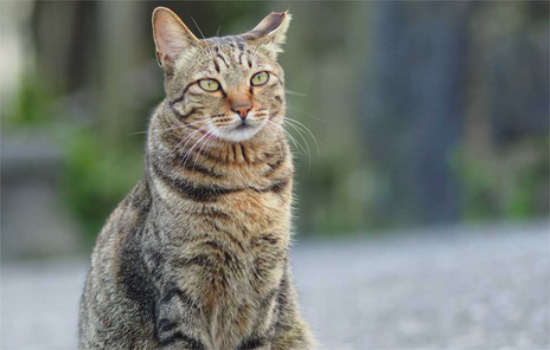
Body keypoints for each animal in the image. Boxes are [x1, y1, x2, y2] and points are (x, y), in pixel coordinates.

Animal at [80, 6, 316, 350]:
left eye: (259, 78)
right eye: (209, 84)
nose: (243, 108)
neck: (241, 177)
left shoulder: (265, 286)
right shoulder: (181, 290)